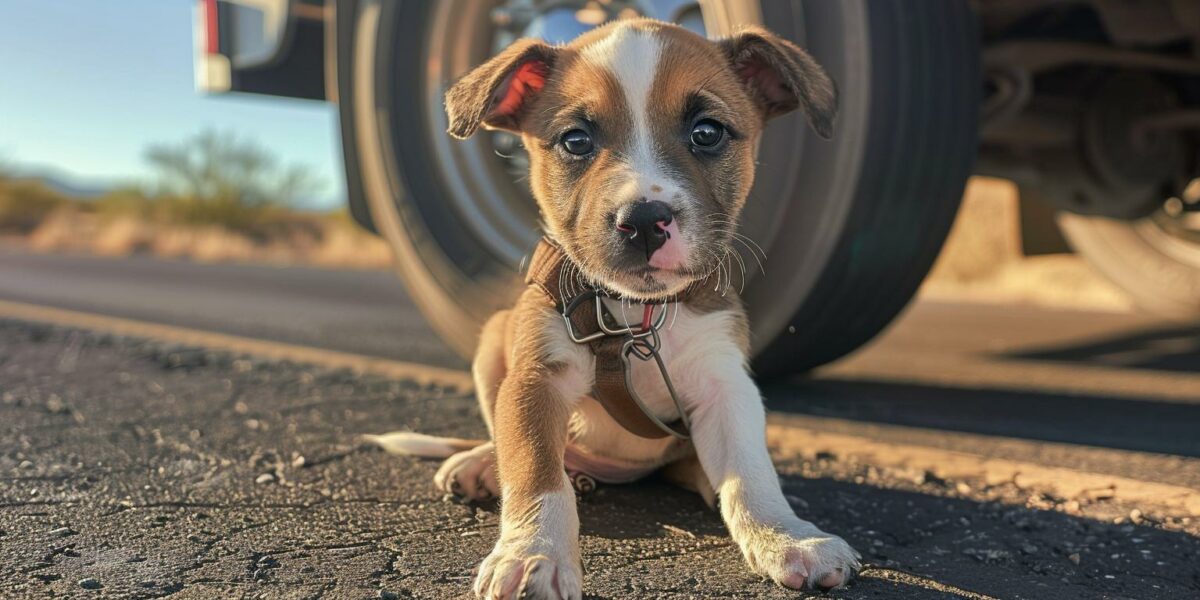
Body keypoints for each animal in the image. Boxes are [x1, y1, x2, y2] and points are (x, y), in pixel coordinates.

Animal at [379, 18, 859, 600]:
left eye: (707, 133)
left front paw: (787, 538)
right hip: (494, 338)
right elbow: (536, 470)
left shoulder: (725, 384)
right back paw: (484, 465)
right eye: (575, 140)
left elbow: (750, 474)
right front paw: (534, 553)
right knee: (518, 446)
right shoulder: (536, 379)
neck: (636, 317)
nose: (646, 220)